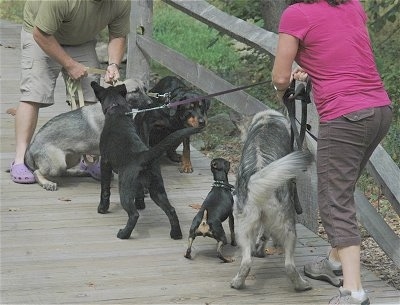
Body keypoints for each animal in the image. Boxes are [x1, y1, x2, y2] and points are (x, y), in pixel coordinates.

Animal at [92, 82, 202, 239]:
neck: (118, 112)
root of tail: (144, 156)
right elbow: (139, 195)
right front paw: (141, 204)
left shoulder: (105, 163)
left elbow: (105, 190)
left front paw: (102, 208)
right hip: (157, 189)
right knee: (171, 210)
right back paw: (175, 234)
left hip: (125, 189)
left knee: (134, 215)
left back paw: (123, 234)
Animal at [230, 108, 314, 290]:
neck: (266, 118)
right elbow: (266, 234)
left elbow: (262, 236)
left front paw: (259, 250)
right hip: (289, 225)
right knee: (289, 265)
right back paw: (302, 285)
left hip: (243, 229)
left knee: (247, 262)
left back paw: (238, 282)